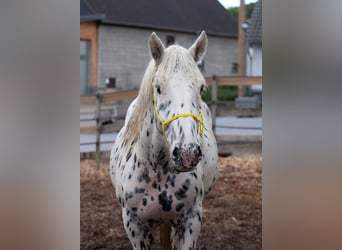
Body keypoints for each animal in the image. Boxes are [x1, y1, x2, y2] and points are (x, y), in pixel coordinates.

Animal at [111, 31, 220, 250]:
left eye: (201, 88)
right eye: (159, 87)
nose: (187, 154)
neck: (158, 167)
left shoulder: (191, 221)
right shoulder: (133, 225)